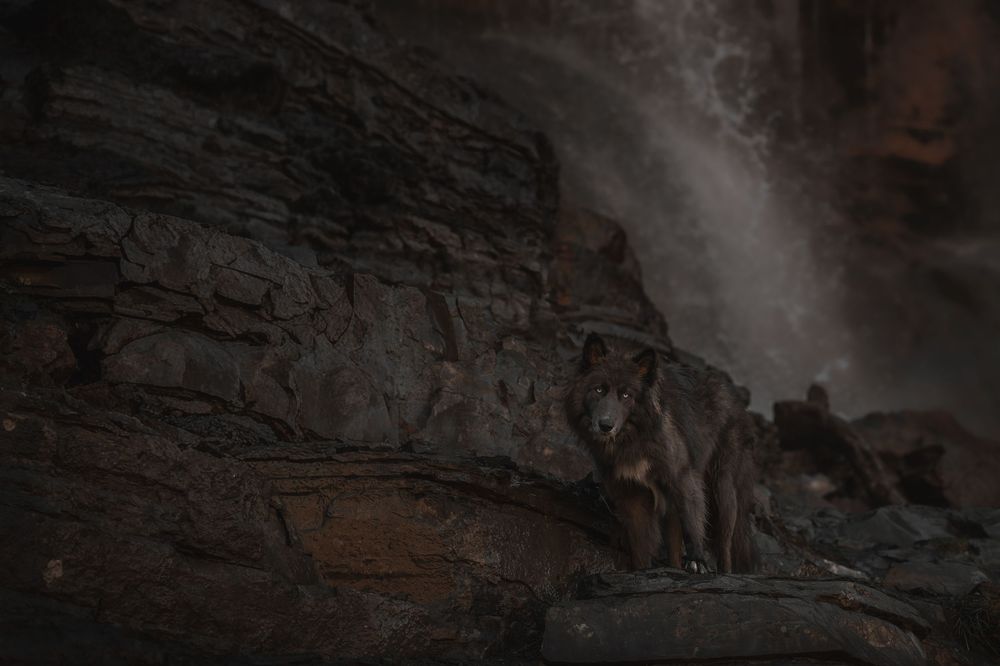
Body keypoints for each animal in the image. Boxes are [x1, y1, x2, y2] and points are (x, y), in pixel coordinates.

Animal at [566, 332, 757, 573]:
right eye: (599, 389)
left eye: (626, 395)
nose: (605, 425)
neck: (634, 439)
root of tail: (735, 398)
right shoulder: (633, 496)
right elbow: (641, 547)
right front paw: (642, 571)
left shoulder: (683, 479)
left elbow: (693, 522)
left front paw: (697, 560)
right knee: (675, 552)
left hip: (722, 489)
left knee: (725, 545)